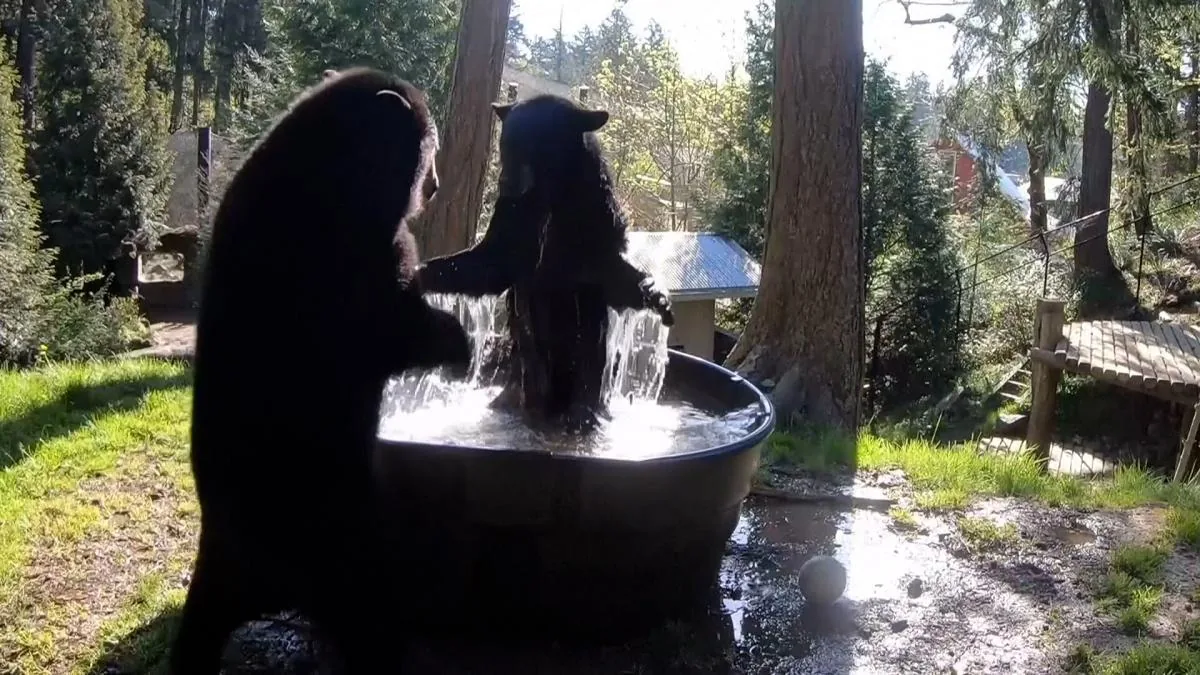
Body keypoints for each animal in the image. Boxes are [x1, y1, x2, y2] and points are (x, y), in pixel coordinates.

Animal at [170, 67, 471, 674]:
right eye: (429, 145)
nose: (432, 184)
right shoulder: (347, 258)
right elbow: (388, 330)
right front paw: (459, 337)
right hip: (334, 531)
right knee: (369, 608)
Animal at [418, 94, 673, 432]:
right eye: (505, 145)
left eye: (534, 145)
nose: (505, 181)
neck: (553, 192)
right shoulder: (516, 214)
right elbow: (494, 263)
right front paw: (417, 274)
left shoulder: (595, 223)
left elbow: (613, 278)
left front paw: (657, 295)